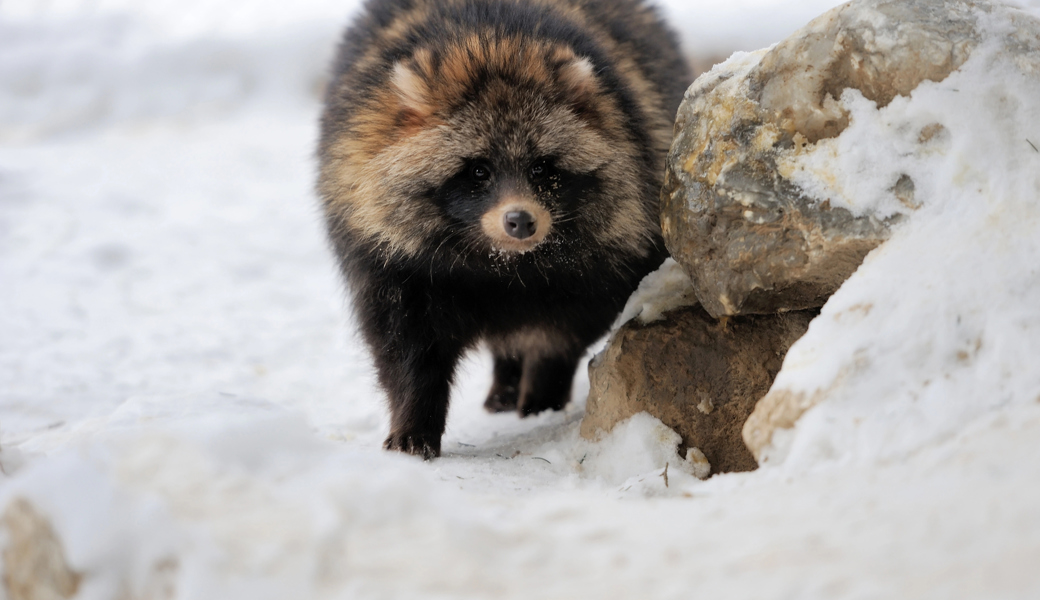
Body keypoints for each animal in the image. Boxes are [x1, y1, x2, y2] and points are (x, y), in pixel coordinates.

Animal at [316, 0, 690, 455]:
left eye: (541, 168)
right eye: (478, 170)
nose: (520, 220)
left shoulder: (603, 258)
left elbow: (560, 331)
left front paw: (543, 392)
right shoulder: (391, 262)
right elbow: (406, 348)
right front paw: (414, 418)